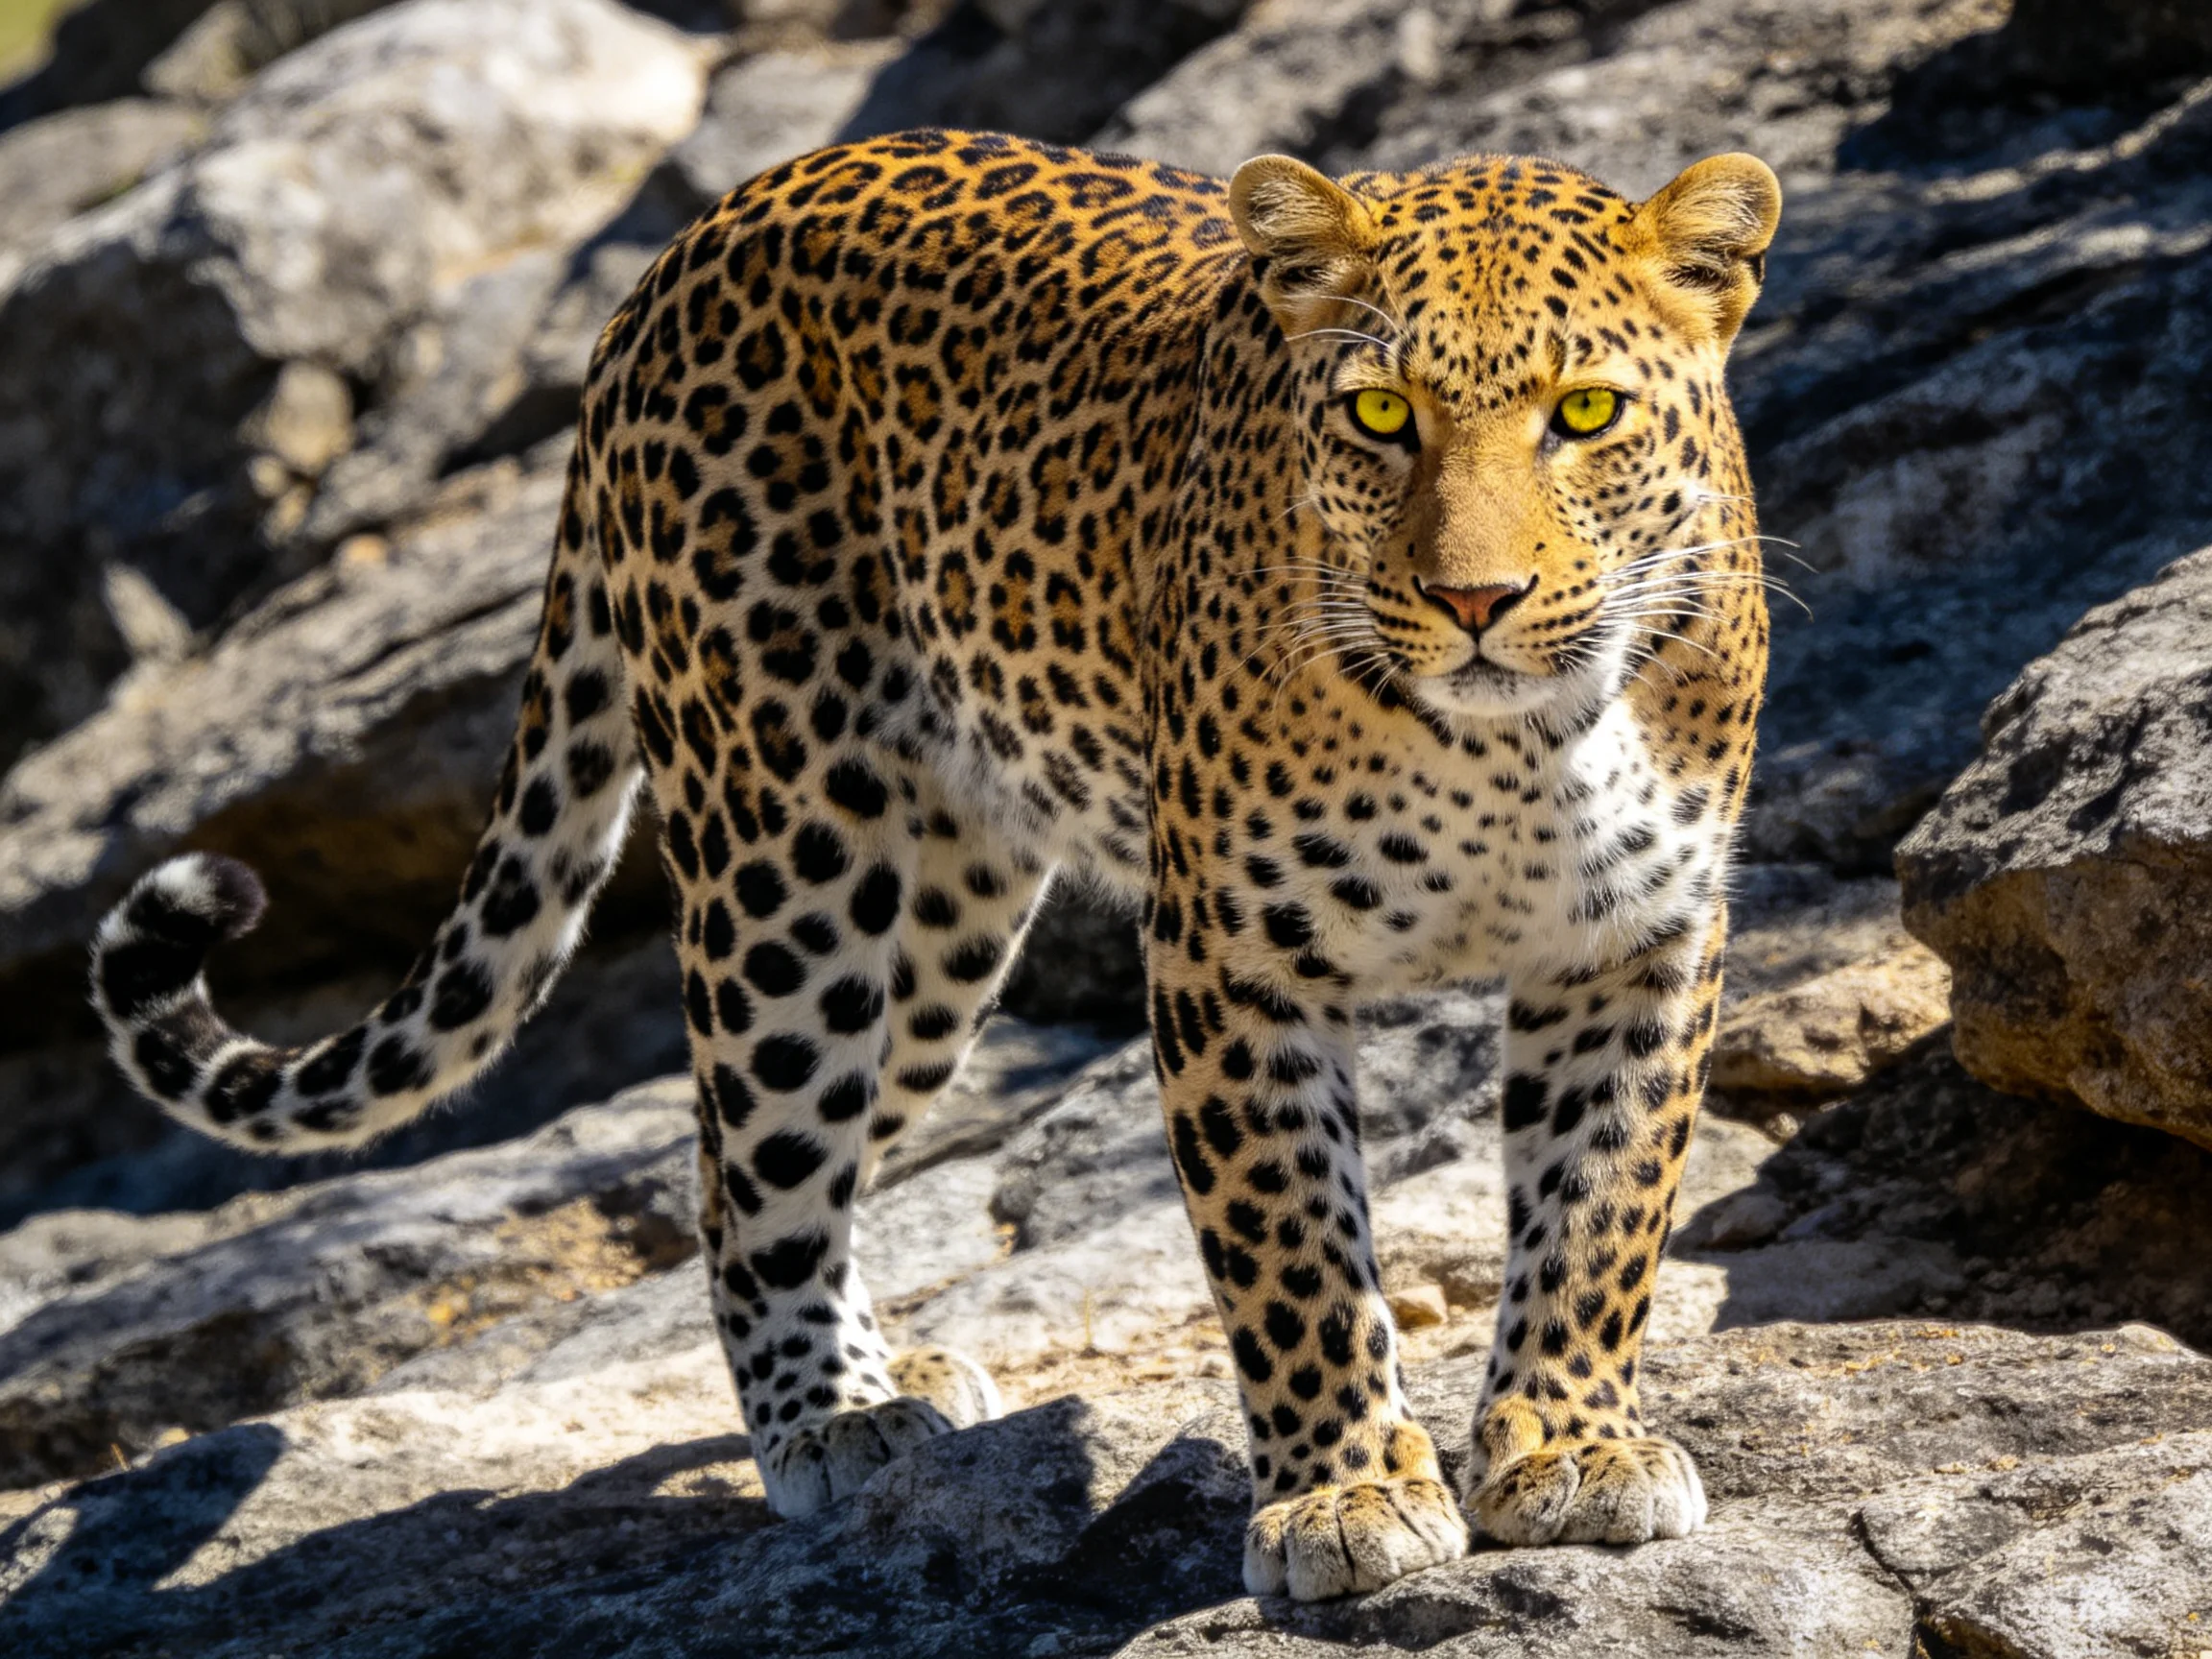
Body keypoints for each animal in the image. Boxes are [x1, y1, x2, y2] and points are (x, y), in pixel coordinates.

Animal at [91, 128, 1780, 1602]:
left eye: (1583, 415)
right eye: (1379, 419)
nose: (1475, 601)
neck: (1517, 745)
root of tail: (694, 240)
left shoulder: (1637, 943)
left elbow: (1600, 1211)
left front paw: (1570, 1450)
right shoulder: (1232, 963)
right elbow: (1294, 1249)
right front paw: (1343, 1496)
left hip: (942, 937)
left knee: (744, 1153)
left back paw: (873, 1368)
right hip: (787, 862)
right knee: (757, 1155)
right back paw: (834, 1420)